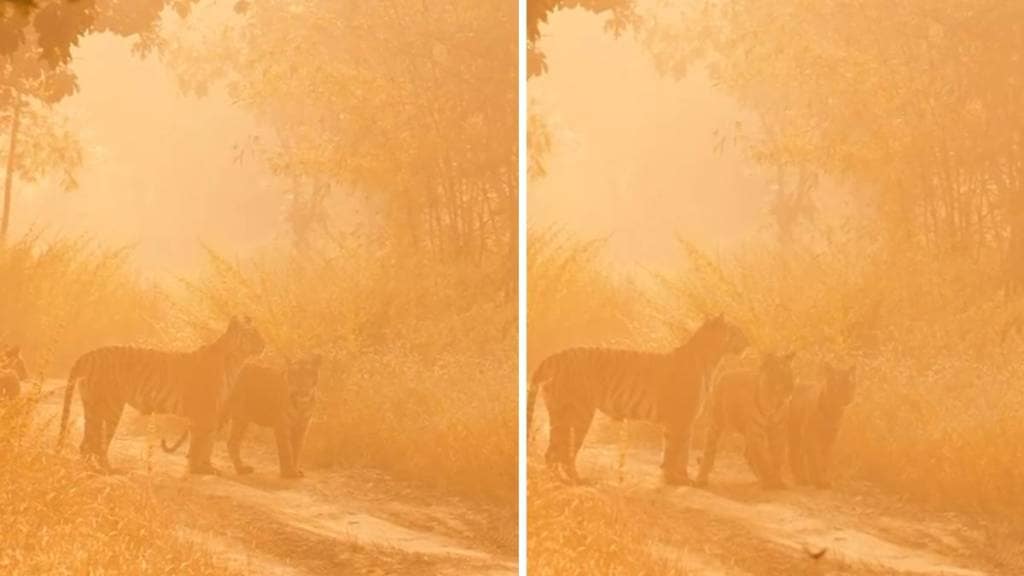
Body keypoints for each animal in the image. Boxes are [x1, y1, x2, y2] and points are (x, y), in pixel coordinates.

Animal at [58, 316, 265, 474]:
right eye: (253, 335)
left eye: (259, 333)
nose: (264, 344)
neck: (236, 360)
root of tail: (88, 354)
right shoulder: (205, 413)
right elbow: (201, 444)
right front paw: (199, 469)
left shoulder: (210, 414)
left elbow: (206, 443)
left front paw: (205, 467)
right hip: (111, 408)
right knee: (98, 445)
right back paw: (108, 470)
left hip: (92, 407)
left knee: (87, 443)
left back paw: (87, 470)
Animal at [162, 353, 323, 479]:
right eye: (294, 374)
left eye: (307, 373)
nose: (301, 389)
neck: (302, 404)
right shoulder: (282, 426)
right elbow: (286, 450)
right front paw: (288, 472)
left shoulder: (303, 426)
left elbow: (297, 450)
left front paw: (295, 470)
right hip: (222, 414)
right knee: (202, 435)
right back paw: (197, 466)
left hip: (238, 418)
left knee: (224, 441)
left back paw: (234, 468)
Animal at [528, 314, 750, 485]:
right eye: (737, 330)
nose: (748, 341)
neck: (711, 357)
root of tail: (558, 355)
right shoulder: (683, 420)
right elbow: (680, 452)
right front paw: (680, 479)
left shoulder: (673, 423)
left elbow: (670, 451)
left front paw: (671, 478)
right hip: (579, 415)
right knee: (566, 454)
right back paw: (577, 481)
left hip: (559, 415)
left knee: (552, 452)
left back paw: (554, 481)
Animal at [695, 351, 796, 489]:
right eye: (780, 373)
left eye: (790, 373)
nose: (791, 387)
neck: (772, 403)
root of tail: (727, 372)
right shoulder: (756, 433)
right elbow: (763, 457)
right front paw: (770, 481)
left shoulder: (777, 431)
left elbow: (776, 458)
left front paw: (776, 481)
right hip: (717, 422)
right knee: (709, 449)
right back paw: (701, 478)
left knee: (748, 453)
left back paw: (761, 478)